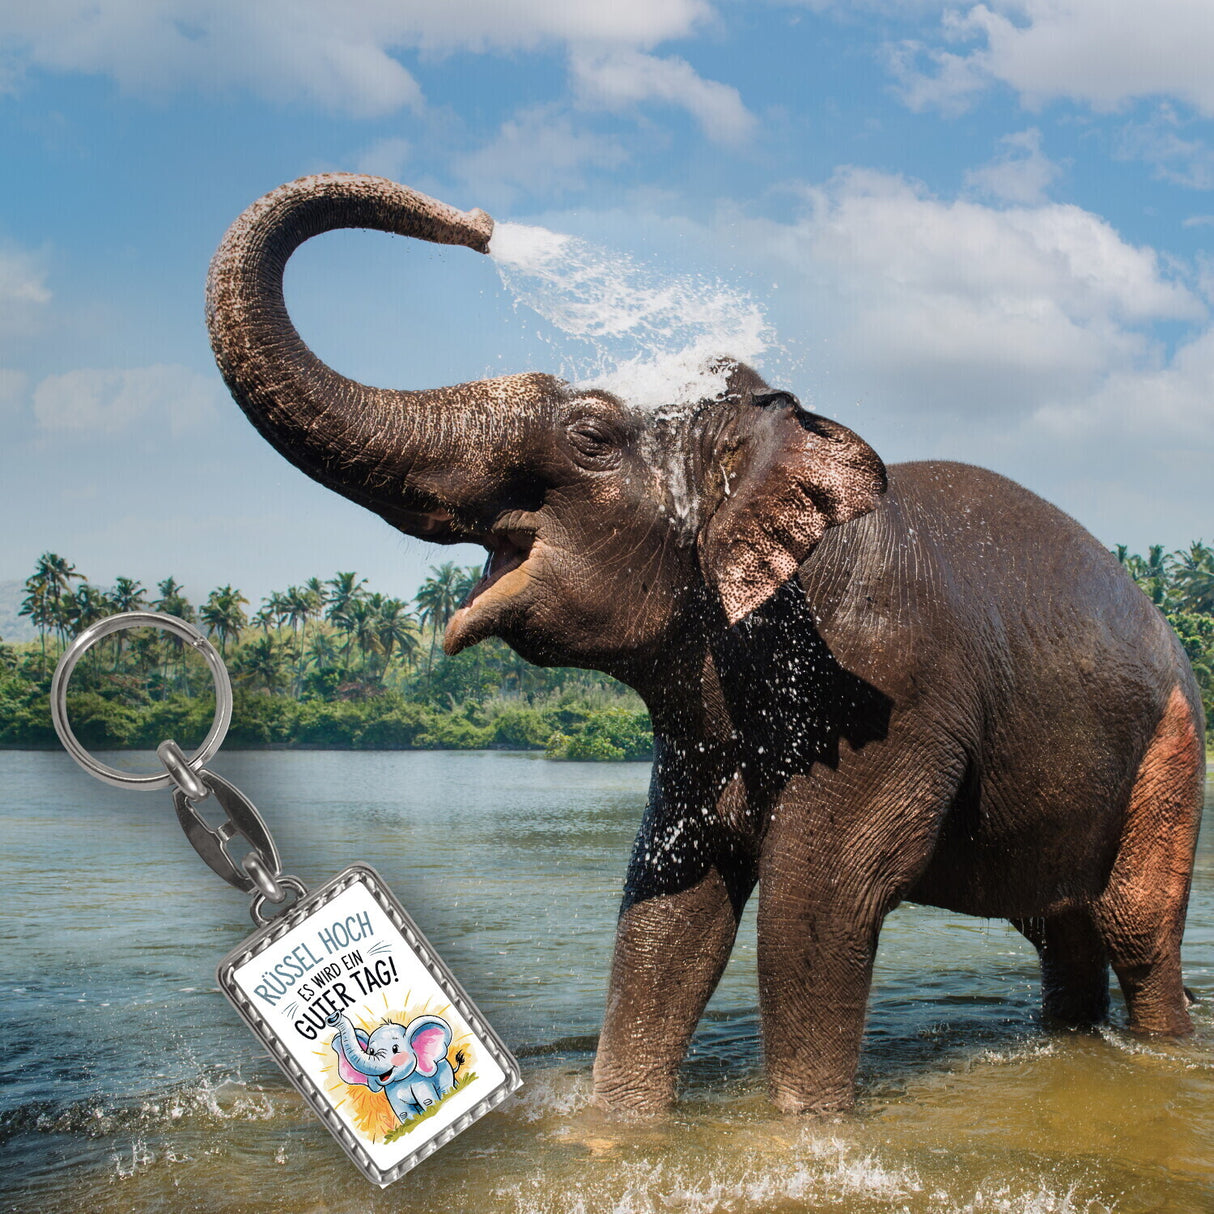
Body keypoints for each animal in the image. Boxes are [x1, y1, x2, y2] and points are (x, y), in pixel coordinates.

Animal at [328, 1011, 462, 1122]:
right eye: (371, 1051)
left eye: (395, 1048)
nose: (333, 1016)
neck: (403, 1080)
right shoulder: (391, 1091)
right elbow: (403, 1113)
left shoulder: (421, 1080)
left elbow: (427, 1100)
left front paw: (431, 1110)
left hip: (446, 1074)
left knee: (446, 1088)